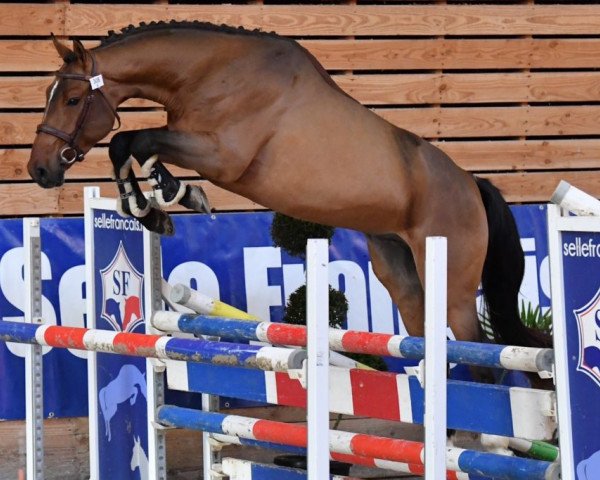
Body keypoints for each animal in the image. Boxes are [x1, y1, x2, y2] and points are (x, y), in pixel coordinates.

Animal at [29, 21, 548, 348]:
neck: (209, 73)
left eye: (72, 99)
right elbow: (133, 146)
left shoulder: (222, 157)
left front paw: (158, 203)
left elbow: (128, 140)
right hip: (400, 271)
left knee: (485, 360)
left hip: (454, 287)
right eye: (50, 94)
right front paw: (162, 198)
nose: (39, 170)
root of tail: (471, 185)